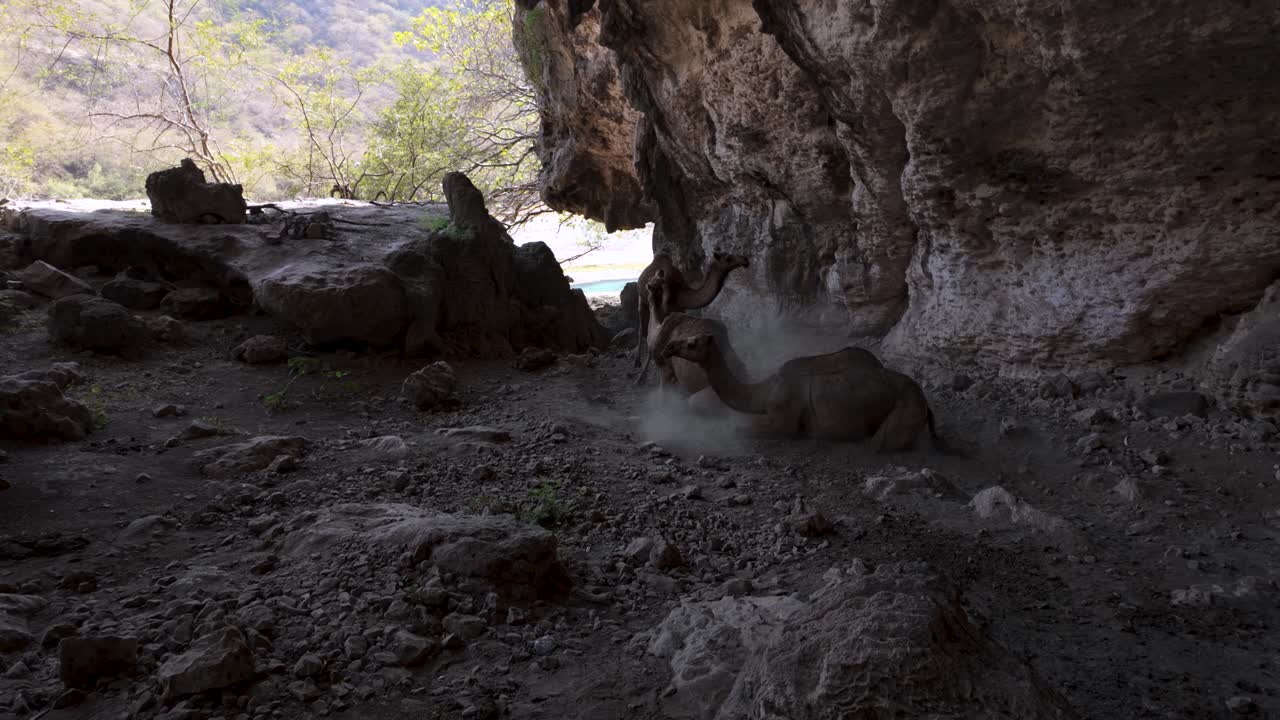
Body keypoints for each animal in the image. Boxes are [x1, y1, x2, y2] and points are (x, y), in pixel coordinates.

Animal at [635, 248, 750, 381]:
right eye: (728, 258)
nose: (745, 260)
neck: (678, 293)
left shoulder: (679, 308)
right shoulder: (664, 308)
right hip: (641, 299)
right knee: (641, 328)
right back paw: (639, 368)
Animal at [658, 332, 954, 453]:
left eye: (692, 343)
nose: (669, 347)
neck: (765, 390)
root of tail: (926, 401)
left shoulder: (784, 420)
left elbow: (740, 429)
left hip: (907, 405)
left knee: (880, 444)